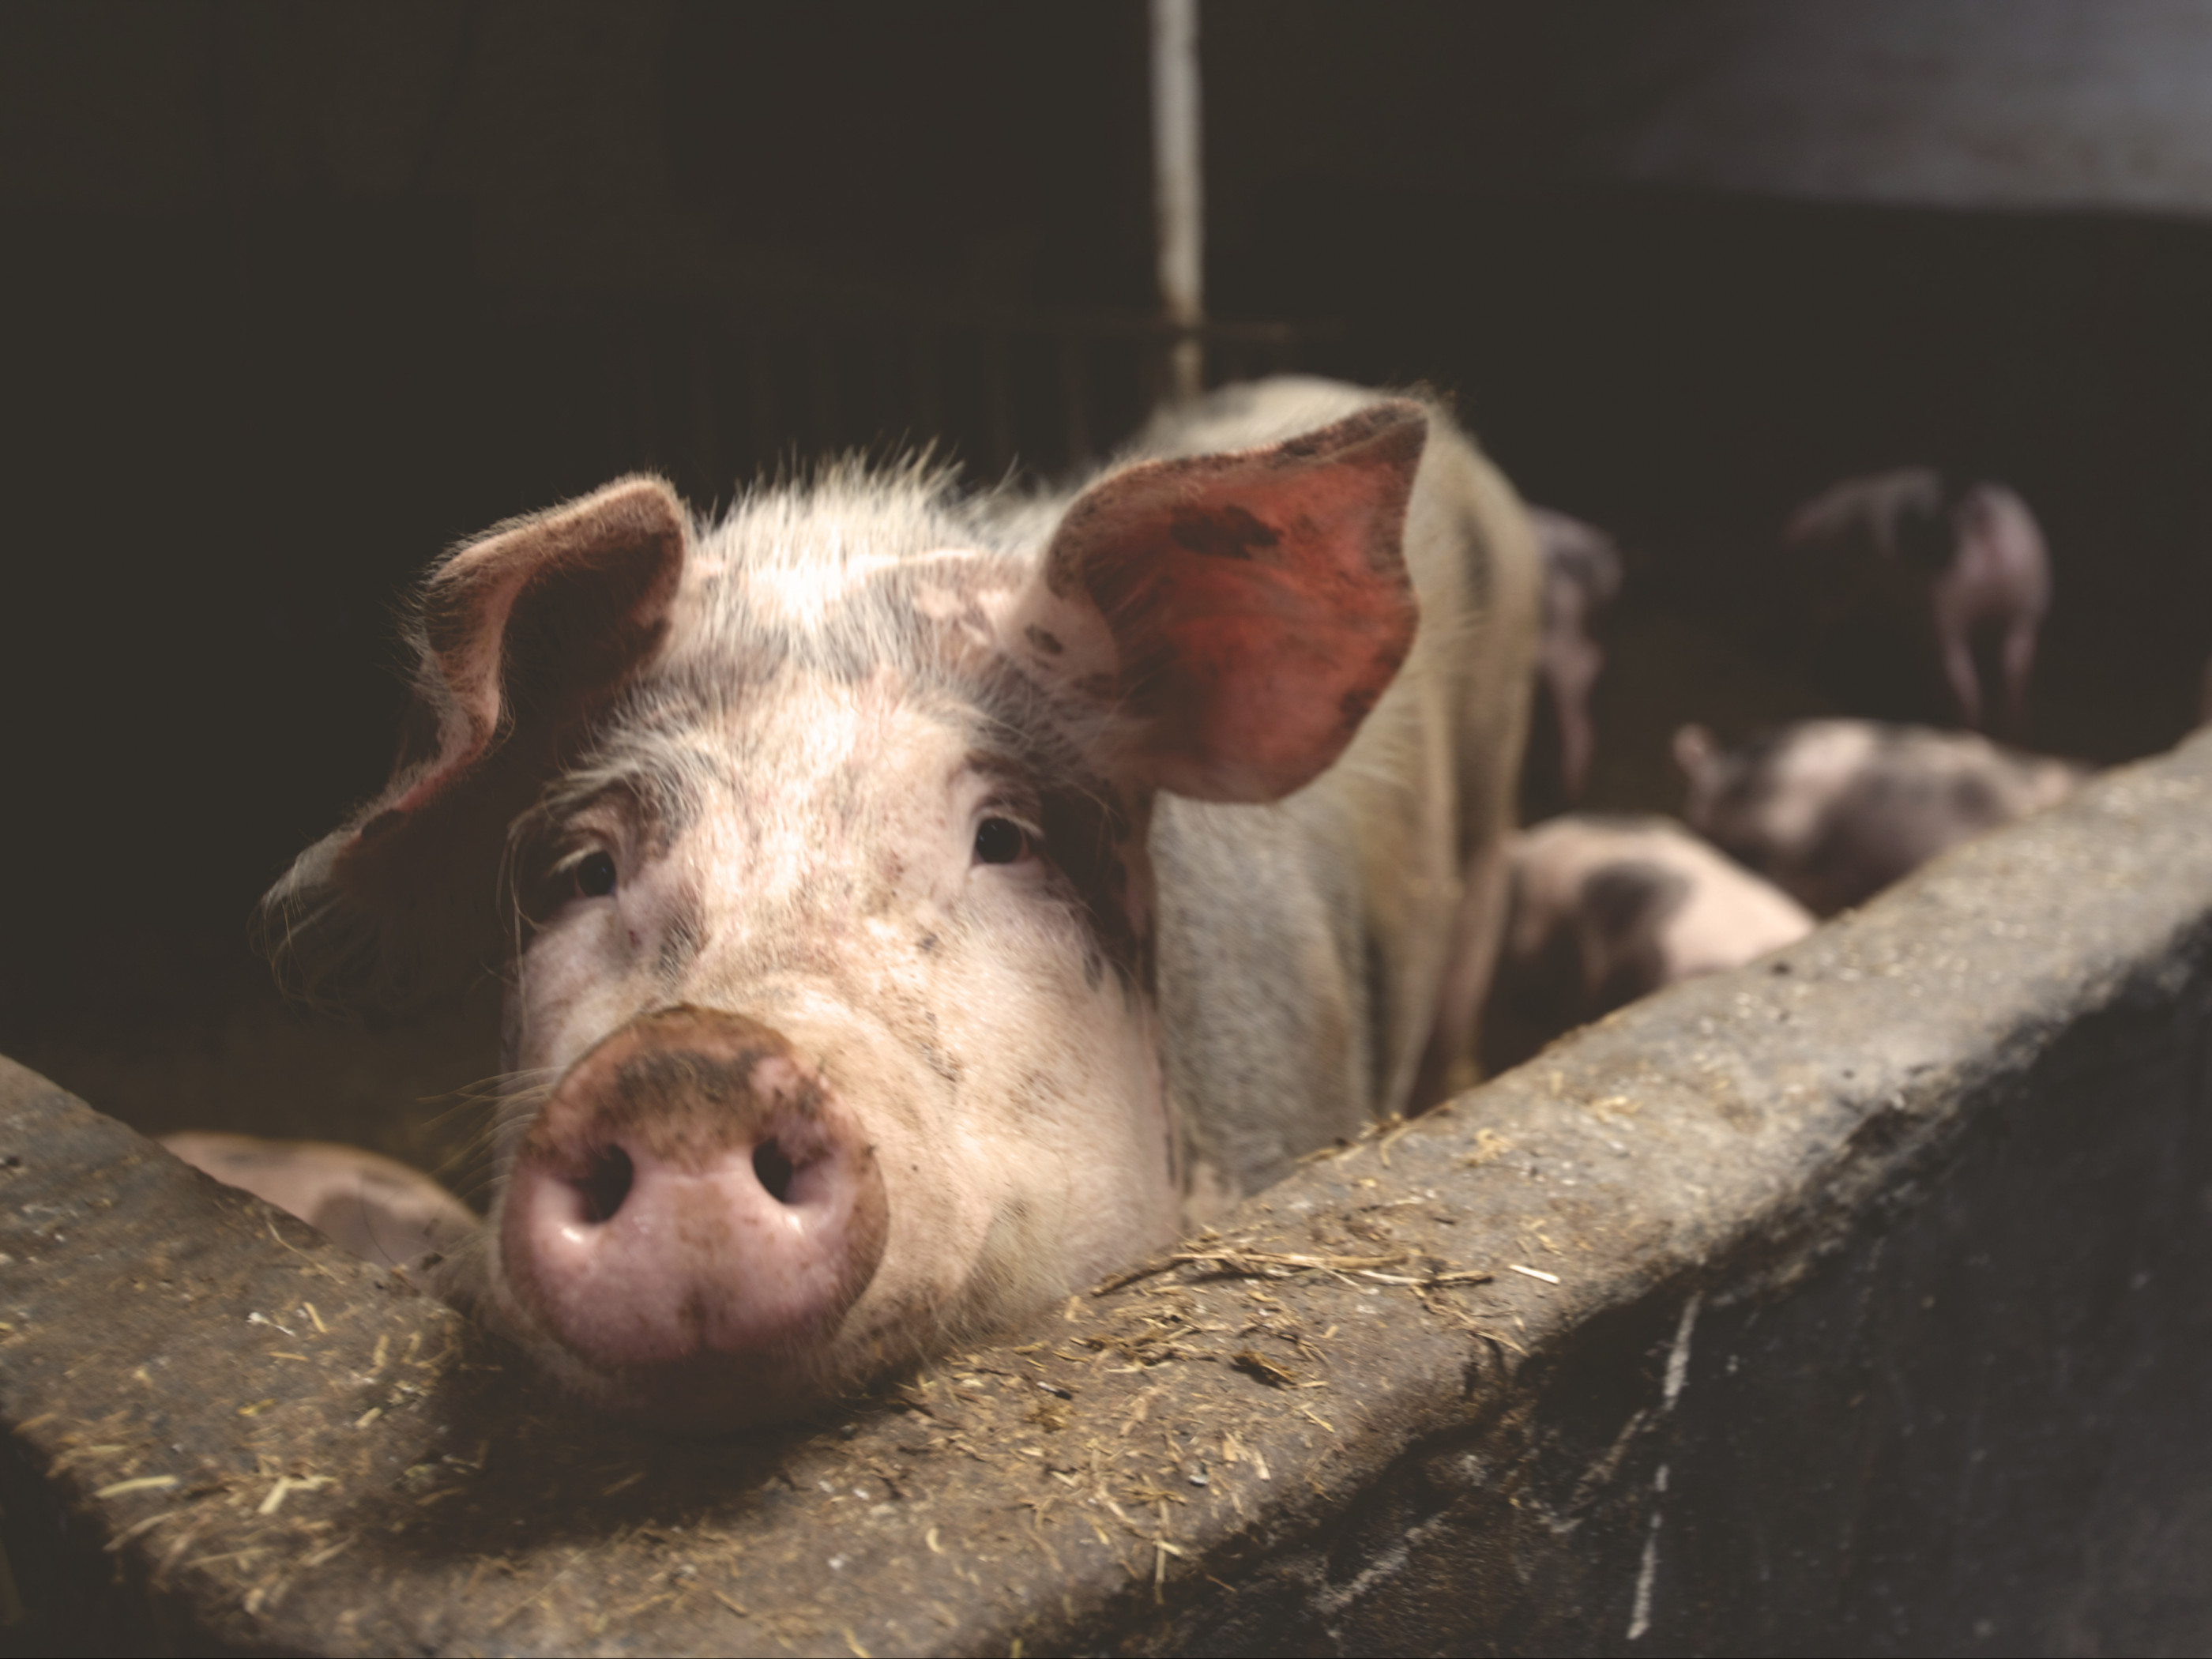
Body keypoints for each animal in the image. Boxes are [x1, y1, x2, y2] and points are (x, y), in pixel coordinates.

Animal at [1783, 467, 2051, 734]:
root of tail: (1974, 505)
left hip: (1943, 609)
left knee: (1961, 678)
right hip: (2014, 607)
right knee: (2010, 669)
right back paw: (2009, 728)